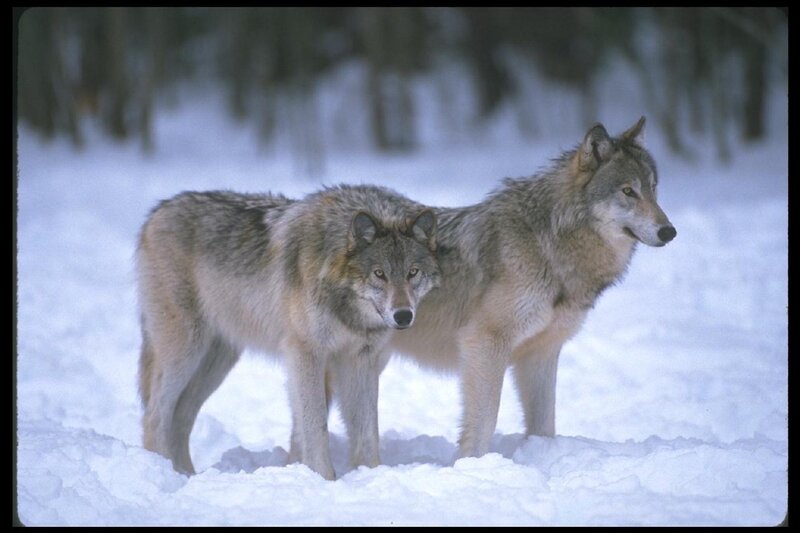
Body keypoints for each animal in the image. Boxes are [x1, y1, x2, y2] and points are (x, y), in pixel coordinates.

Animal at [136, 184, 439, 480]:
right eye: (379, 274)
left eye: (413, 272)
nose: (403, 315)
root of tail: (157, 212)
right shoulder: (306, 353)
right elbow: (315, 425)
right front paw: (324, 479)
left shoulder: (361, 360)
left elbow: (367, 432)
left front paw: (370, 475)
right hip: (186, 351)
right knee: (154, 415)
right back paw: (167, 472)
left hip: (217, 362)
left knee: (181, 416)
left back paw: (187, 475)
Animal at [390, 117, 676, 458]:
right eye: (628, 191)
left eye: (653, 189)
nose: (669, 231)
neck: (549, 245)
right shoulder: (485, 343)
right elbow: (484, 422)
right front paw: (472, 464)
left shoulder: (541, 352)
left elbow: (545, 425)